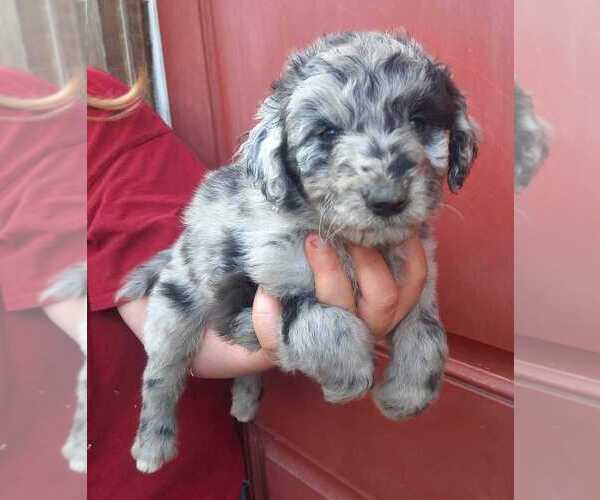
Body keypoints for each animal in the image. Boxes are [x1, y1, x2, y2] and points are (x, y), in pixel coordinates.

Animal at [119, 32, 480, 472]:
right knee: (161, 374)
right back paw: (152, 444)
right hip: (176, 303)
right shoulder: (250, 287)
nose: (387, 200)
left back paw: (245, 401)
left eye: (419, 121)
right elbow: (326, 323)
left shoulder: (418, 283)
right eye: (326, 132)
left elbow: (429, 337)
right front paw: (346, 382)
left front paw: (405, 395)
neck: (352, 243)